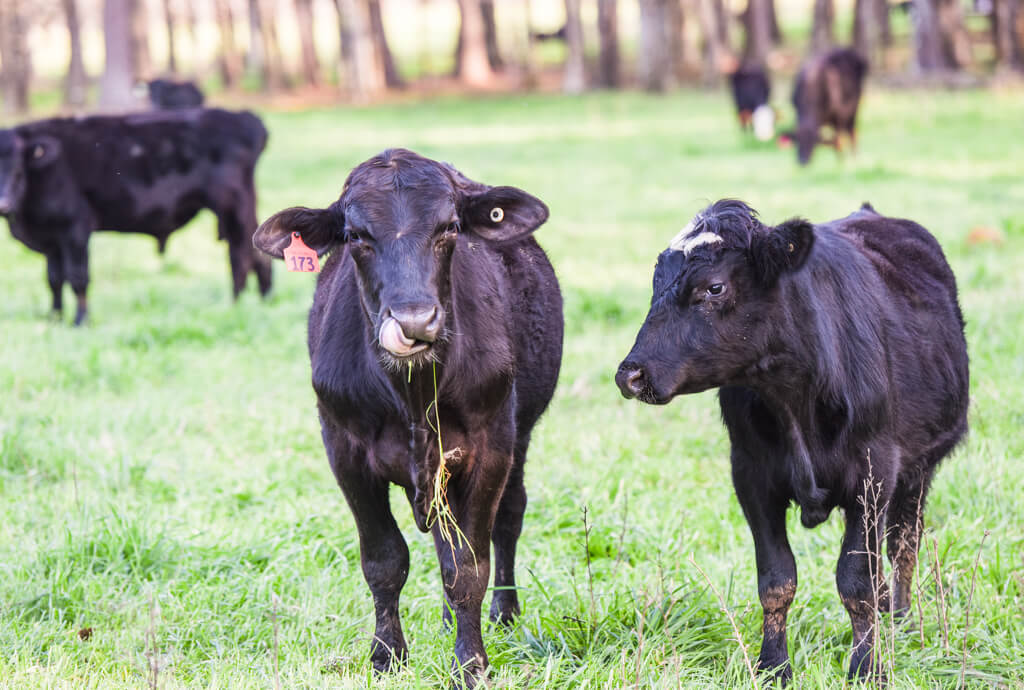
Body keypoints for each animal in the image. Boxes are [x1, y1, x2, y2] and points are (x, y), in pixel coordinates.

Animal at [0, 107, 272, 323]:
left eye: (17, 169)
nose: (4, 205)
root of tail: (243, 117)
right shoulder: (51, 238)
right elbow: (54, 280)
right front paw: (54, 318)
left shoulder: (75, 228)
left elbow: (78, 277)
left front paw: (80, 320)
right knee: (258, 256)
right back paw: (264, 299)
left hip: (233, 207)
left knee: (239, 257)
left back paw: (235, 306)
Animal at [252, 146, 565, 683]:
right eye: (356, 236)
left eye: (450, 227)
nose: (415, 320)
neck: (413, 391)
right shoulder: (344, 451)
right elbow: (384, 560)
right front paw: (386, 655)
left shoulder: (492, 445)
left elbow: (469, 564)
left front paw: (470, 663)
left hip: (520, 434)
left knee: (507, 517)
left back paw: (501, 614)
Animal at [614, 200, 966, 683]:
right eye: (655, 282)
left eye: (714, 287)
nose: (630, 374)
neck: (792, 394)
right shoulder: (752, 476)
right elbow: (777, 580)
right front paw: (773, 665)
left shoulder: (874, 473)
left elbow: (856, 580)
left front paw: (866, 667)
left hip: (918, 470)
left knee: (903, 544)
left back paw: (900, 621)